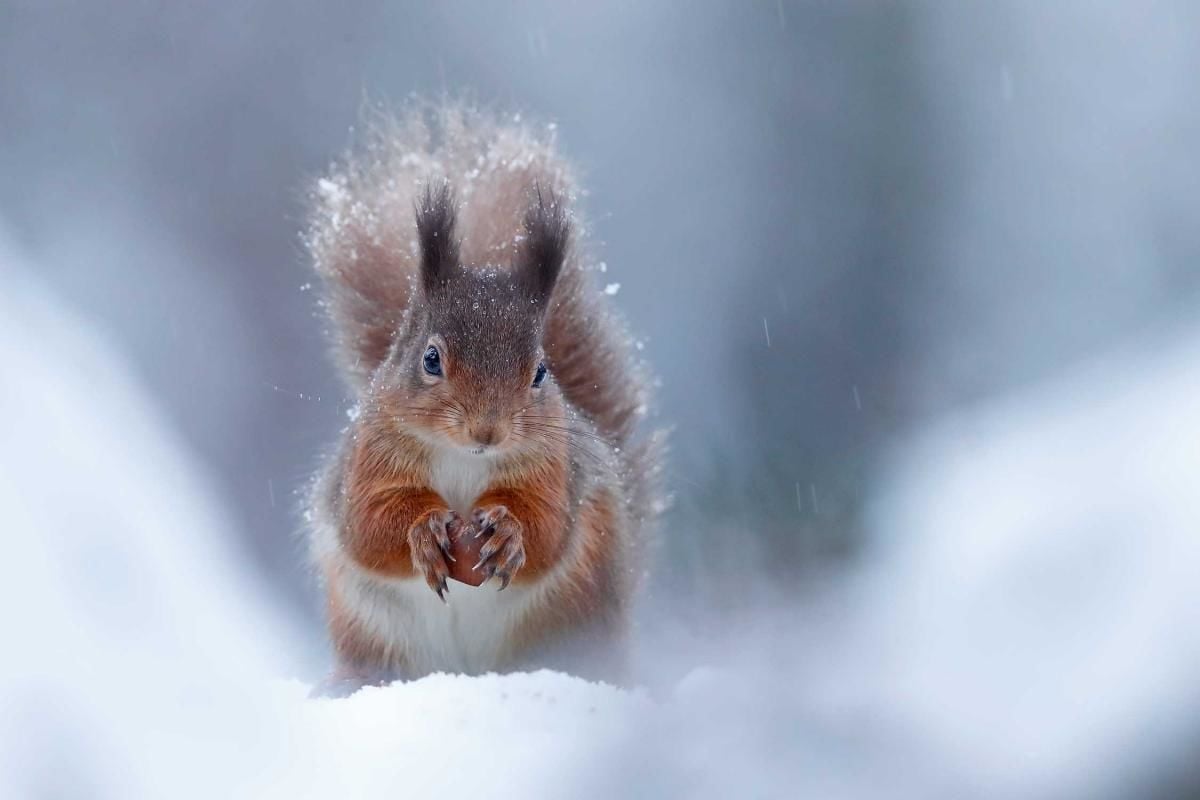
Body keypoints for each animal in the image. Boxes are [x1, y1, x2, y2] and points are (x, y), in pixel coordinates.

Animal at [304, 104, 667, 695]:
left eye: (540, 372)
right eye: (431, 359)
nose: (487, 430)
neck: (462, 459)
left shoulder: (556, 470)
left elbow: (548, 528)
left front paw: (511, 533)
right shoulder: (367, 462)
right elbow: (368, 524)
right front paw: (422, 531)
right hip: (371, 625)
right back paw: (351, 681)